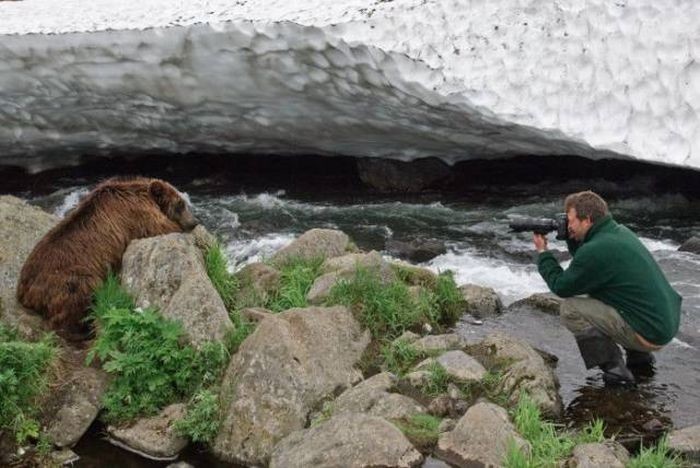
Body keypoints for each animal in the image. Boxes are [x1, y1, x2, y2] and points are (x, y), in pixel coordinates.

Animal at [15, 176, 200, 340]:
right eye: (180, 204)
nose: (194, 221)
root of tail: (23, 290)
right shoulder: (139, 215)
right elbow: (163, 228)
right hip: (67, 276)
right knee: (79, 291)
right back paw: (80, 332)